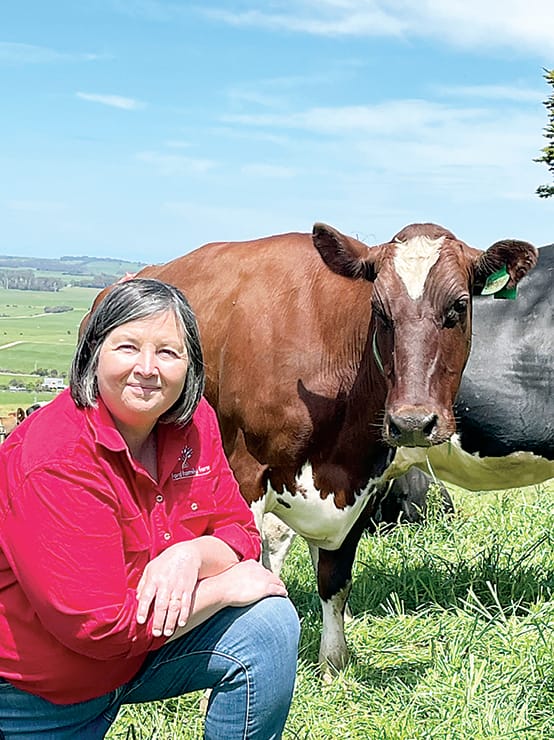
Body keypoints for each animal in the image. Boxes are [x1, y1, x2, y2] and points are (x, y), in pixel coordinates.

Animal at [85, 222, 537, 669]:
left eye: (459, 306)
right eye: (379, 310)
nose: (412, 422)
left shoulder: (363, 481)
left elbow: (334, 579)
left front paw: (333, 663)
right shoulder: (246, 473)